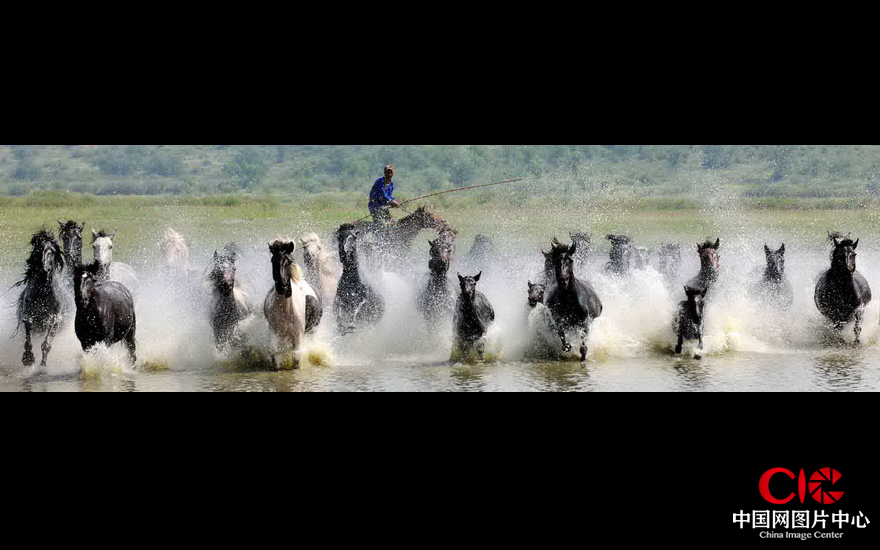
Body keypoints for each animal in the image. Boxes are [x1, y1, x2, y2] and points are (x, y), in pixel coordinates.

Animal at [268, 240, 326, 370]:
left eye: (289, 261)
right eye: (273, 260)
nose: (282, 287)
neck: (285, 308)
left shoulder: (298, 334)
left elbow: (296, 358)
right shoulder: (275, 331)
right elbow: (274, 354)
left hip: (311, 330)